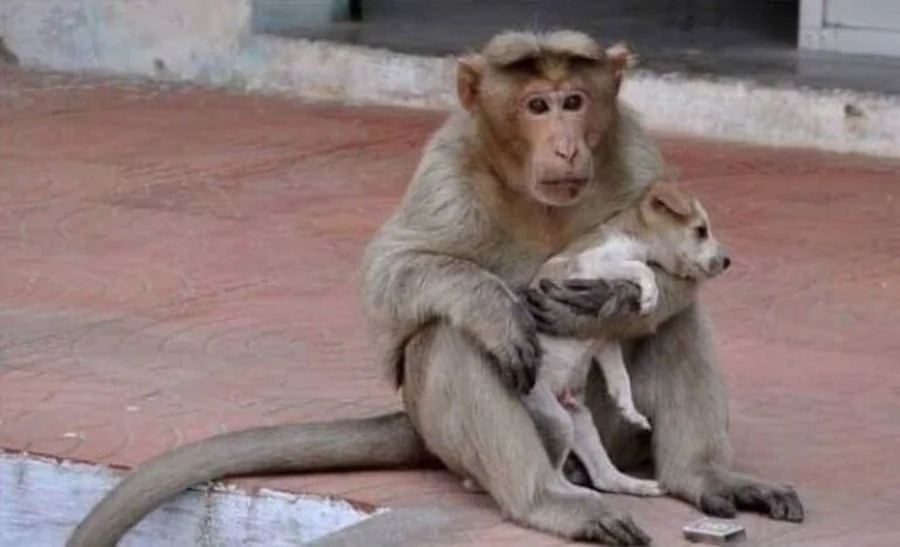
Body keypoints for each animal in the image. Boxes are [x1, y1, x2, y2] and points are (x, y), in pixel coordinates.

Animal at [66, 31, 803, 547]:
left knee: (677, 326)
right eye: (537, 105)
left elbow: (669, 292)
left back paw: (697, 476)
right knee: (450, 341)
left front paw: (620, 302)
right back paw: (548, 499)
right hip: (484, 429)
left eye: (576, 101)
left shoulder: (638, 149)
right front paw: (504, 308)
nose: (565, 145)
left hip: (608, 434)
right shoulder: (449, 166)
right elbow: (394, 276)